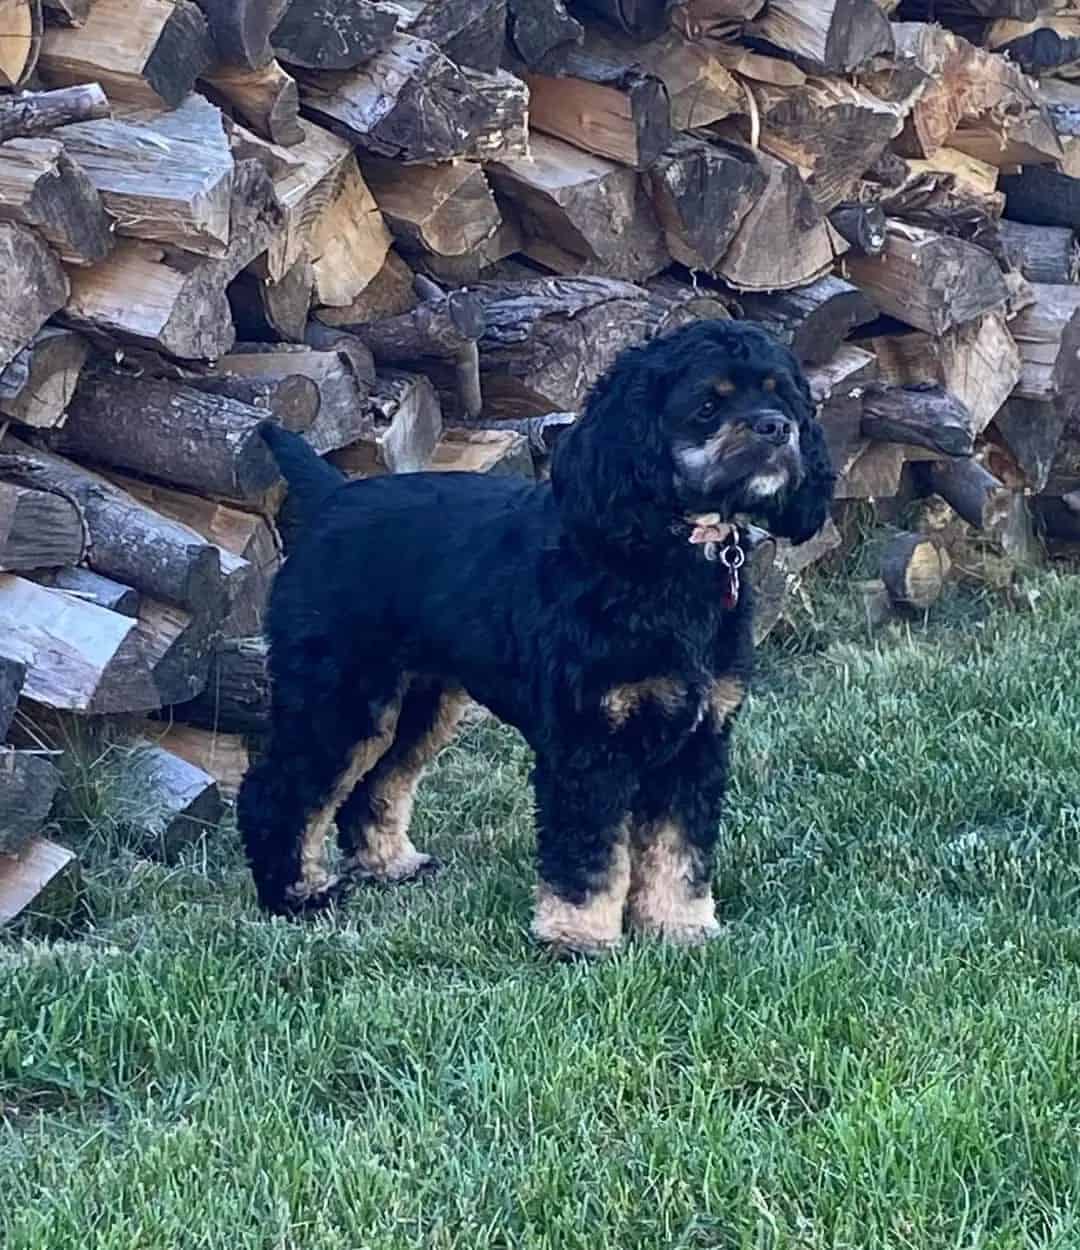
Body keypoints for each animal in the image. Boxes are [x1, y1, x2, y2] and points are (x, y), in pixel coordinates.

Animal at [238, 320, 835, 955]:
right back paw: (295, 895)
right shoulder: (586, 743)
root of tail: (332, 497)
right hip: (340, 697)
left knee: (375, 785)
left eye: (782, 395)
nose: (777, 428)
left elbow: (679, 847)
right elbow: (589, 854)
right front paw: (579, 937)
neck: (660, 560)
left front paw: (681, 928)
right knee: (279, 790)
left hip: (418, 703)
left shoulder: (698, 739)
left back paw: (390, 865)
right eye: (707, 404)